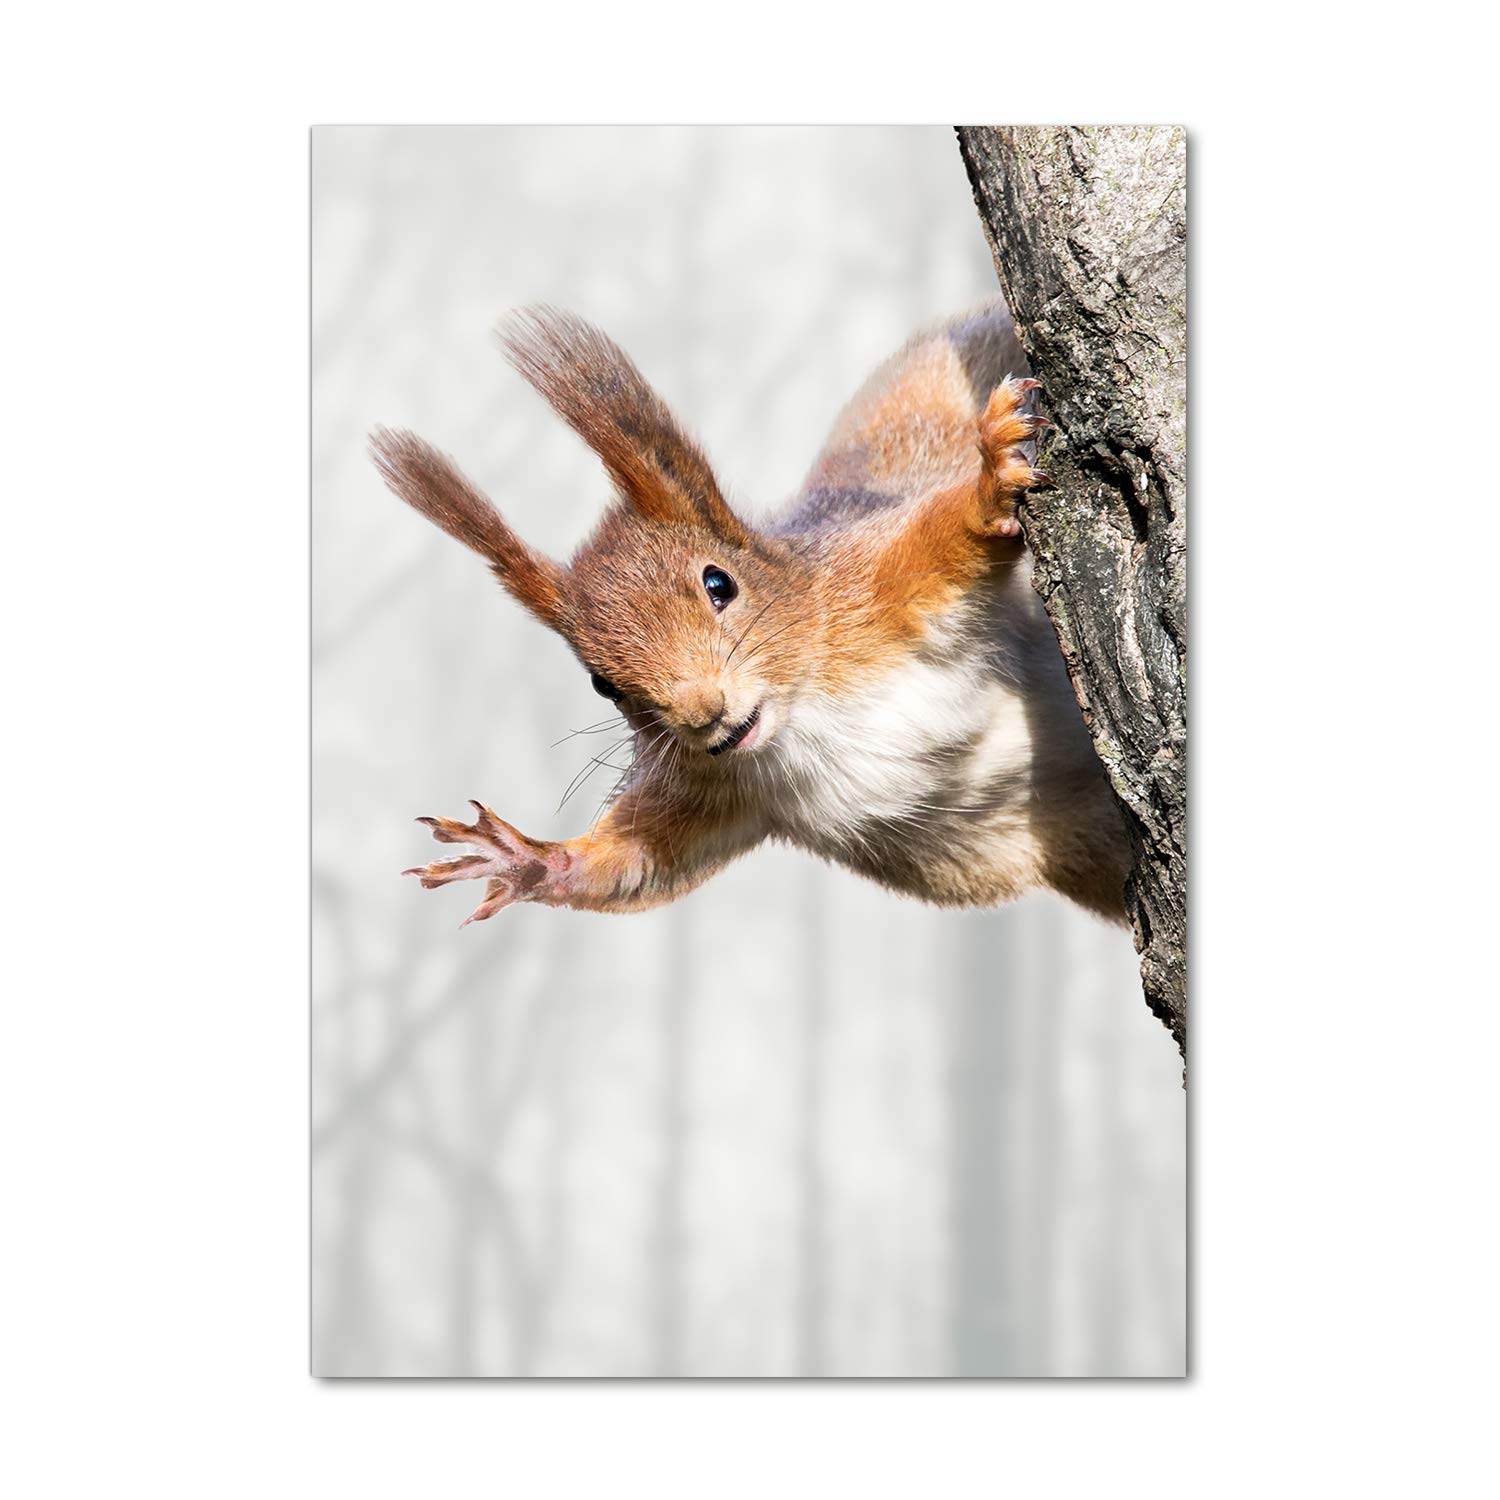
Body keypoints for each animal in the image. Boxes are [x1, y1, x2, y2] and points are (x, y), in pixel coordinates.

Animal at [371, 301, 1130, 927]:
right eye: (601, 684)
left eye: (719, 583)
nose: (703, 714)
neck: (802, 716)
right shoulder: (714, 788)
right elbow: (640, 862)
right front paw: (528, 859)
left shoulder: (871, 588)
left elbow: (944, 538)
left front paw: (989, 482)